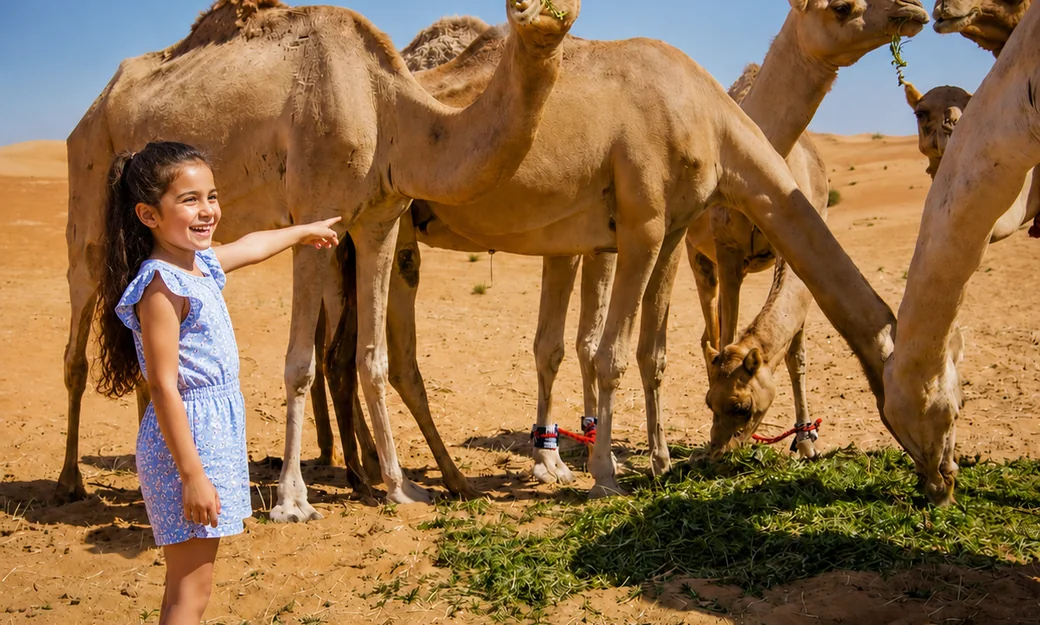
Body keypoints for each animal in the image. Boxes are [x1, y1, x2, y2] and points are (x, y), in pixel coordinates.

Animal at [59, 0, 582, 519]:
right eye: (515, 8)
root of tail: (91, 110)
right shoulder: (312, 215)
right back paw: (69, 481)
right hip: (88, 190)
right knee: (78, 330)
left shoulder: (380, 220)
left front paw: (400, 487)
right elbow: (300, 365)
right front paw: (292, 500)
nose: (544, 14)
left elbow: (373, 358)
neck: (386, 106)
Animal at [325, 0, 929, 499]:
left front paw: (658, 462)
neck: (712, 118)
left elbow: (647, 351)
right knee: (392, 358)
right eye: (842, 6)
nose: (914, 9)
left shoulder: (670, 231)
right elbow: (608, 352)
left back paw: (371, 472)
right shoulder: (644, 226)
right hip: (386, 223)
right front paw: (602, 474)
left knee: (346, 354)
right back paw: (423, 480)